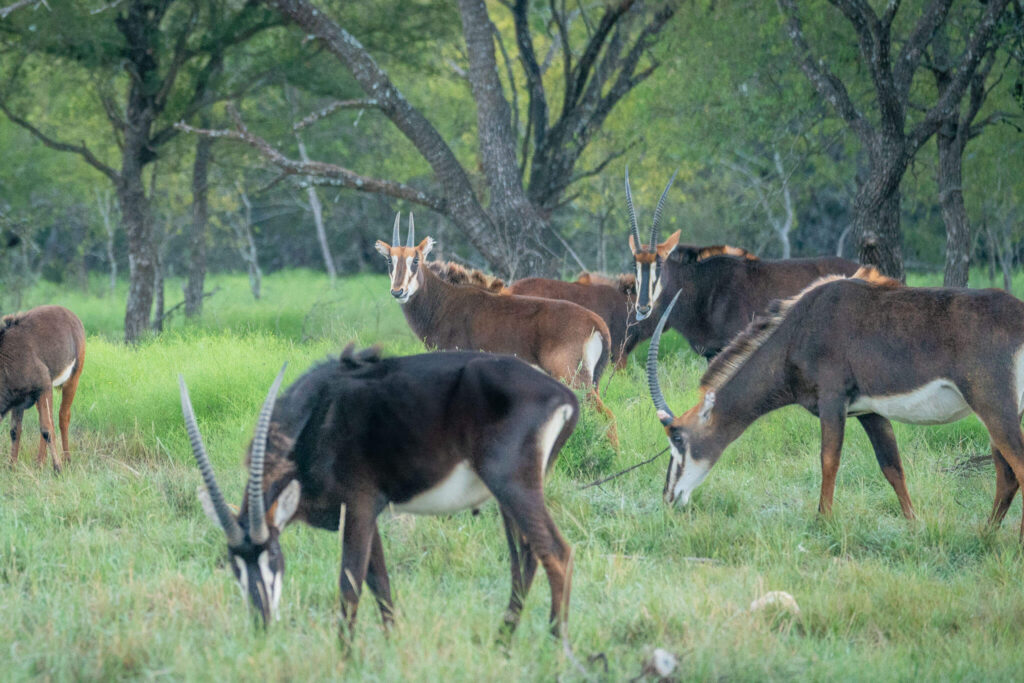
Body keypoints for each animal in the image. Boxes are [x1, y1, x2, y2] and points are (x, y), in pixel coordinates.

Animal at [1, 305, 85, 473]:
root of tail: (71, 314)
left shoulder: (43, 385)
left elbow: (47, 429)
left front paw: (58, 469)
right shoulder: (19, 400)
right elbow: (15, 431)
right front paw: (11, 466)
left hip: (72, 379)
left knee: (62, 417)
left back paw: (67, 460)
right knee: (49, 420)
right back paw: (40, 462)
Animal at [181, 345, 579, 637]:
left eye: (273, 554)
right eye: (233, 563)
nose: (262, 622)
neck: (317, 415)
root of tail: (564, 395)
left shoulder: (359, 505)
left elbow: (350, 585)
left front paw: (346, 661)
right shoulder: (366, 512)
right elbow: (380, 584)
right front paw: (391, 646)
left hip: (511, 484)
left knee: (555, 553)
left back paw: (556, 648)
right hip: (505, 494)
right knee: (524, 558)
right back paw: (503, 644)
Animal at [376, 212, 617, 446]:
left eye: (416, 260)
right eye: (389, 260)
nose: (398, 291)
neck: (443, 301)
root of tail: (598, 325)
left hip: (573, 378)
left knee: (606, 415)